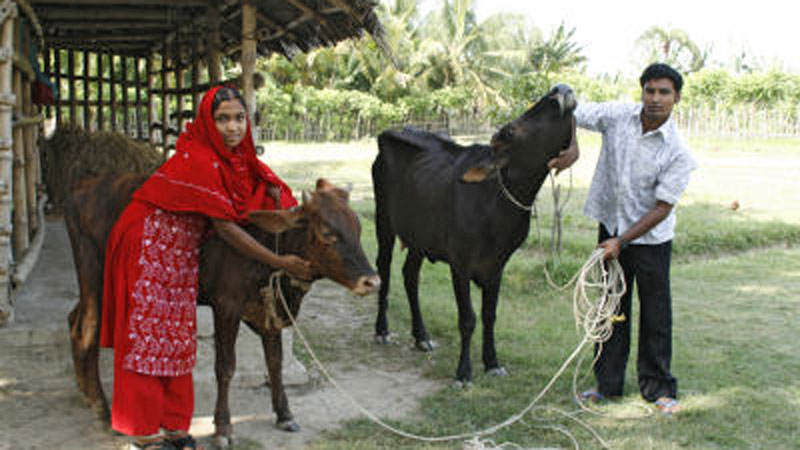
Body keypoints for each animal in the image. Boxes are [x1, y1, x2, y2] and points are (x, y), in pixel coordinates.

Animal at [372, 83, 580, 384]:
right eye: (509, 131)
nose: (559, 90)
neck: (497, 202)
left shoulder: (497, 265)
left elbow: (490, 314)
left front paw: (492, 362)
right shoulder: (460, 263)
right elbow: (467, 318)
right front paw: (464, 372)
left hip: (420, 238)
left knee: (410, 276)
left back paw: (421, 337)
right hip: (384, 222)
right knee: (384, 271)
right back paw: (382, 330)